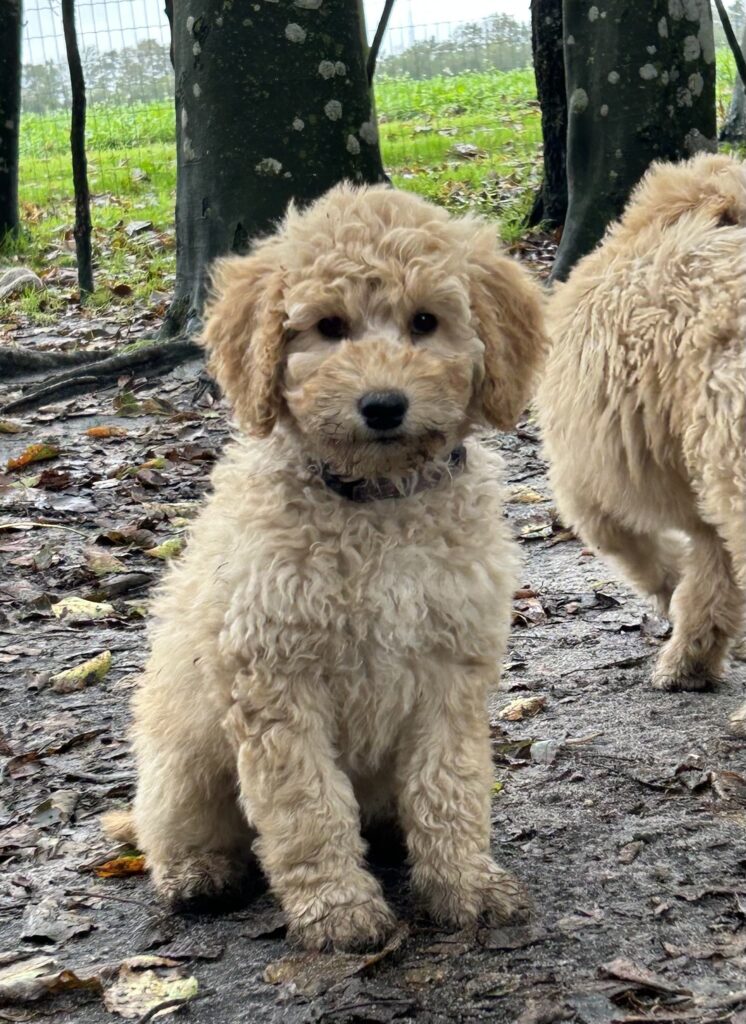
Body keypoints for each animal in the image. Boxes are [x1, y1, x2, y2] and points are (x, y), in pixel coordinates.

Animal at [103, 183, 548, 951]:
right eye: (329, 327)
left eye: (425, 321)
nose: (383, 405)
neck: (376, 503)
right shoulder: (277, 680)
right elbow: (306, 806)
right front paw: (338, 908)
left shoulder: (450, 668)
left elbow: (450, 784)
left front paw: (464, 884)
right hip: (182, 755)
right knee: (178, 822)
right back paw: (197, 871)